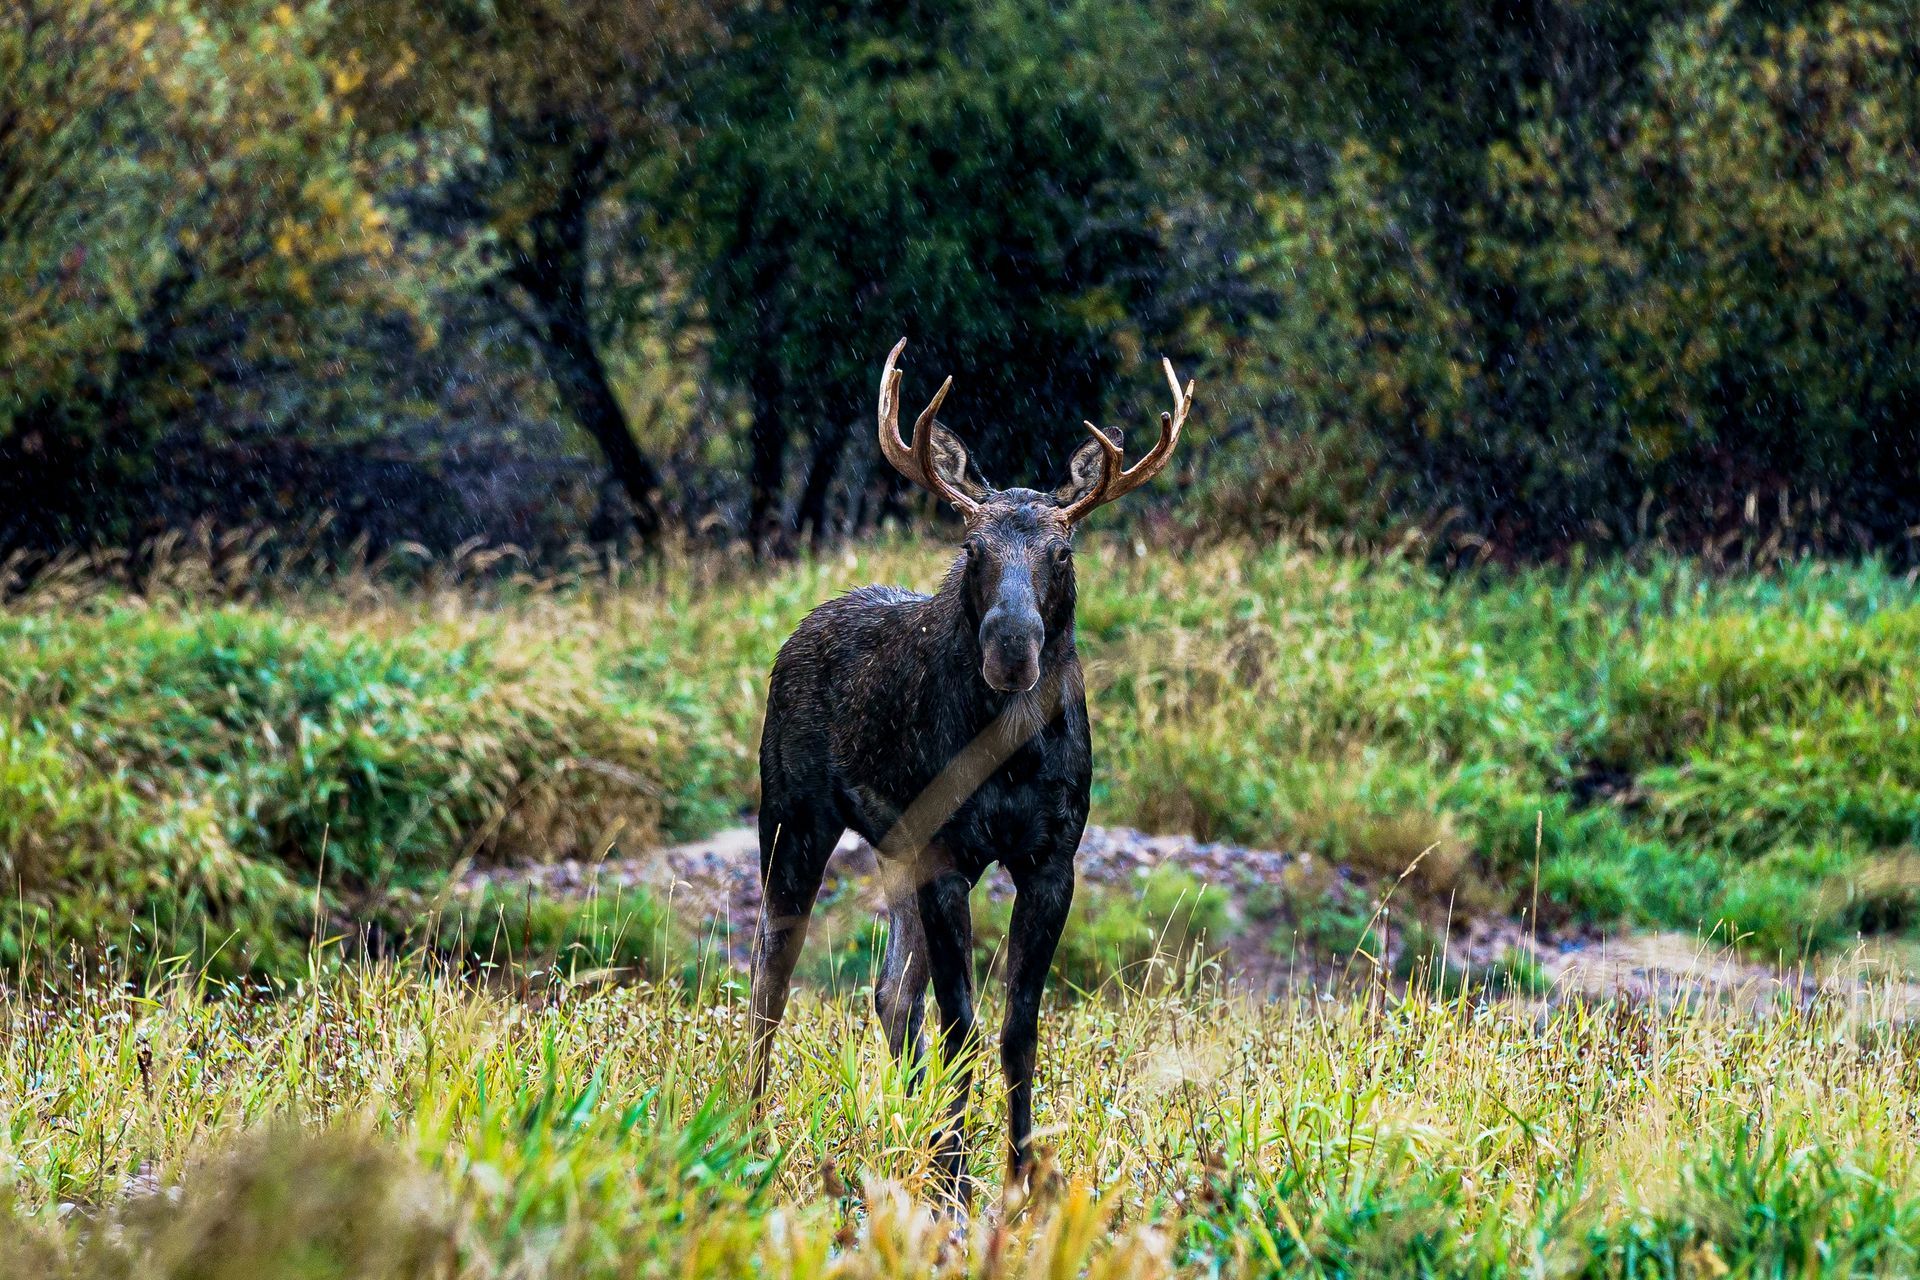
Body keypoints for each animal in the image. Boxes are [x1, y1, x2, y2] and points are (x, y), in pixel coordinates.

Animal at [748, 337, 1192, 1206]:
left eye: (1063, 550)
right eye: (970, 547)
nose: (1011, 647)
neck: (1012, 757)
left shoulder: (1051, 856)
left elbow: (1018, 1025)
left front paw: (1022, 1174)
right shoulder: (949, 851)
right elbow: (963, 1023)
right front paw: (953, 1180)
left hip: (896, 848)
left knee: (891, 992)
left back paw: (904, 1128)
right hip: (793, 815)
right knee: (771, 975)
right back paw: (746, 1127)